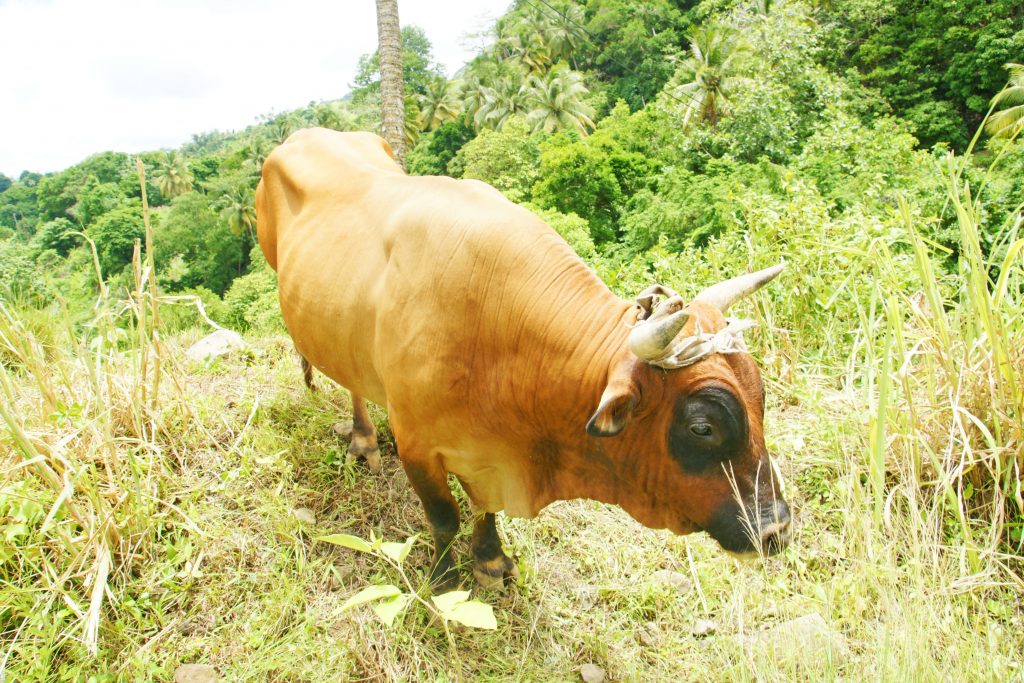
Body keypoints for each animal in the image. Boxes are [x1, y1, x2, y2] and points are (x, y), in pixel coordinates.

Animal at [256, 131, 790, 589]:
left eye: (761, 398)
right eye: (703, 427)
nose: (776, 532)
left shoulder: (489, 458)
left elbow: (483, 509)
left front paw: (490, 560)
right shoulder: (417, 447)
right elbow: (443, 519)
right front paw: (443, 582)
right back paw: (363, 438)